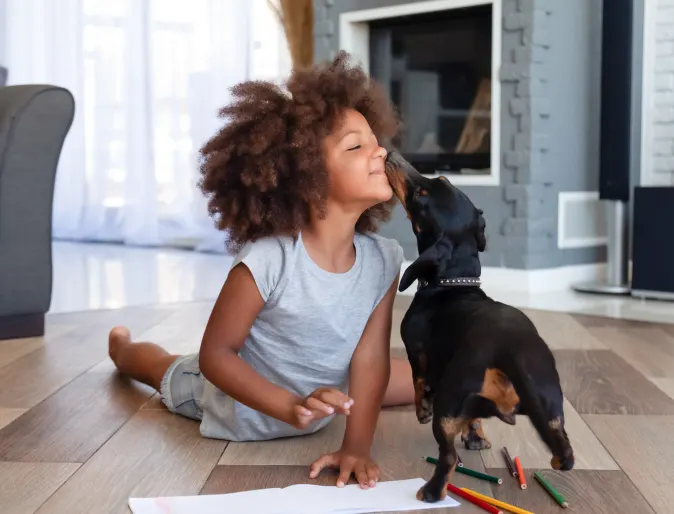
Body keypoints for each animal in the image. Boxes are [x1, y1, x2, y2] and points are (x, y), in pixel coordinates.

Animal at [384, 148, 572, 500]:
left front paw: (422, 408)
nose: (391, 155)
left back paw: (432, 491)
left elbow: (418, 382)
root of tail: (508, 353)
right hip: (551, 403)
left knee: (447, 456)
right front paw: (476, 437)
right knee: (564, 448)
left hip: (448, 406)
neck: (455, 283)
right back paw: (558, 458)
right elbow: (474, 420)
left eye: (422, 193)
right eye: (441, 179)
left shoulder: (417, 354)